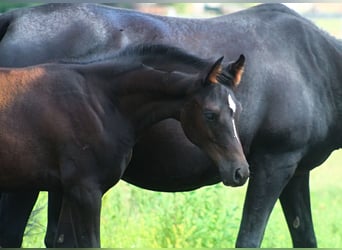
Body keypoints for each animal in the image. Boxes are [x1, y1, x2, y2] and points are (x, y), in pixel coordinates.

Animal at [0, 44, 247, 247]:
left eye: (238, 111)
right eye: (210, 114)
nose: (240, 172)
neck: (100, 102)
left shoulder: (69, 191)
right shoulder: (86, 191)